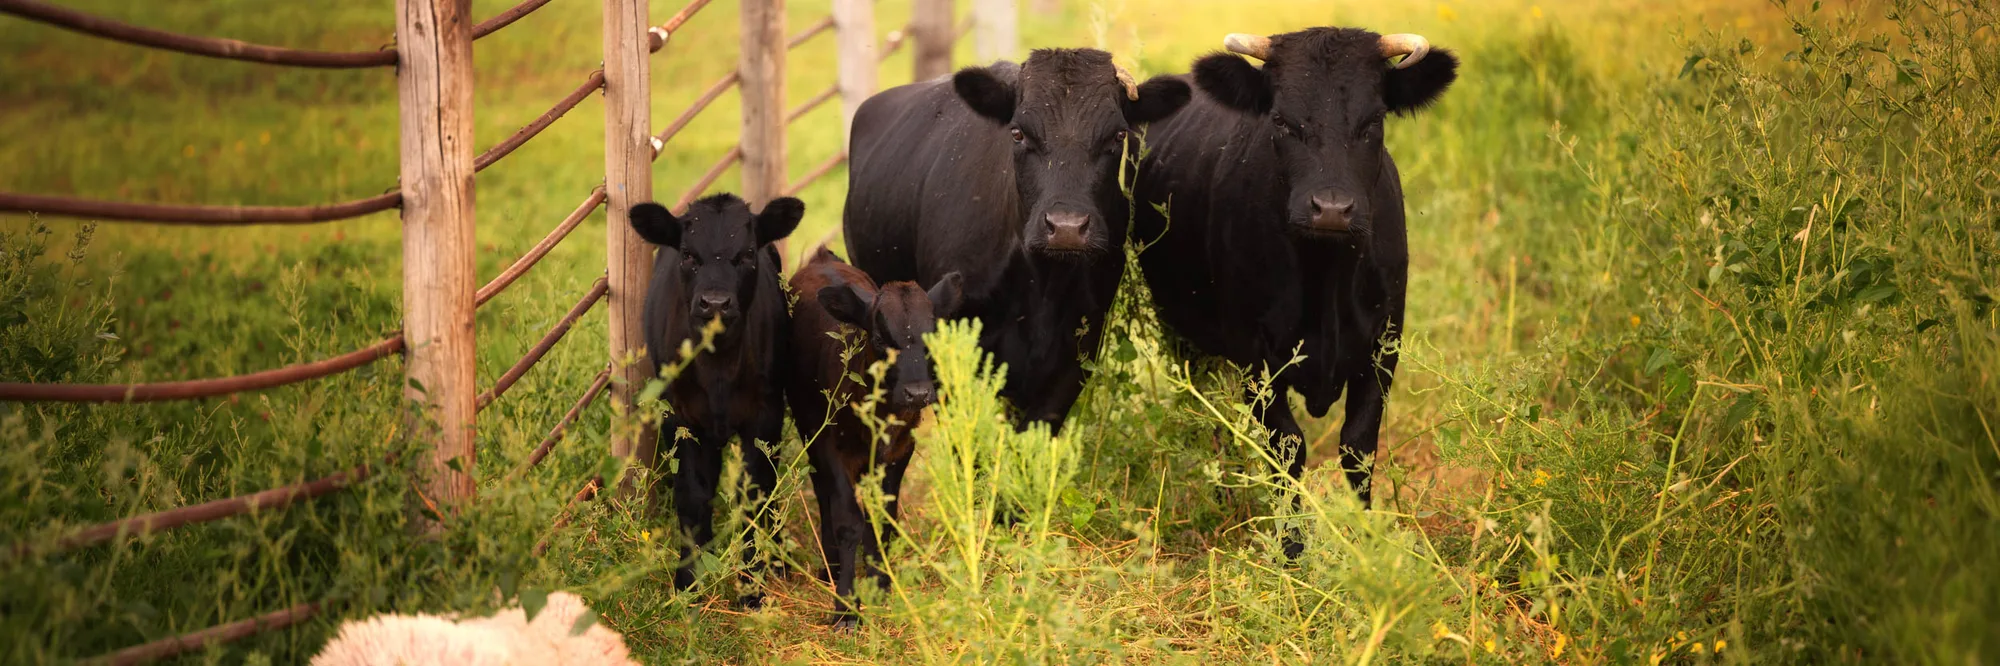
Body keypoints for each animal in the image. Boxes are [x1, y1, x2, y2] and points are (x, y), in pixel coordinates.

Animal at [628, 193, 802, 608]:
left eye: (748, 253)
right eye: (689, 254)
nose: (716, 303)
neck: (719, 368)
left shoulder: (765, 417)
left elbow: (755, 493)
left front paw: (752, 586)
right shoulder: (681, 418)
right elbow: (693, 494)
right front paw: (689, 581)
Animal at [786, 247, 962, 627]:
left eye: (930, 340)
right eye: (882, 340)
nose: (918, 393)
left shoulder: (900, 452)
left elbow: (883, 520)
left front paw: (881, 588)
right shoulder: (833, 450)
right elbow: (848, 520)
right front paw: (846, 606)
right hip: (810, 433)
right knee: (823, 495)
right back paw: (831, 566)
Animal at [1132, 28, 1458, 534]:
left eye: (1373, 120)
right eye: (1282, 122)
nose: (1331, 209)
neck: (1326, 279)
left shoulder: (1384, 346)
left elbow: (1358, 447)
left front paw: (1366, 542)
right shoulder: (1255, 356)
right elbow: (1287, 447)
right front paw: (1291, 544)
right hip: (1185, 337)